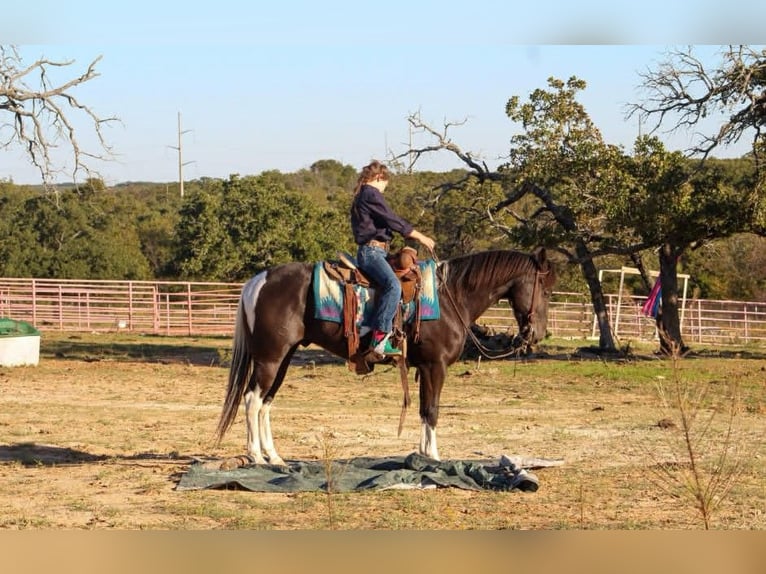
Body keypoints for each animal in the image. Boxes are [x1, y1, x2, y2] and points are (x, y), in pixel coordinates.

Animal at [215, 247, 556, 464]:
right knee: (252, 400)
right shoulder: (436, 367)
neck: (451, 298)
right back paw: (256, 456)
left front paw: (422, 455)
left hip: (282, 358)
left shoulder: (425, 368)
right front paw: (434, 457)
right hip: (270, 359)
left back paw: (274, 457)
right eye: (546, 290)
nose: (536, 334)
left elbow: (423, 410)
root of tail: (258, 280)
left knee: (265, 403)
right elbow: (432, 410)